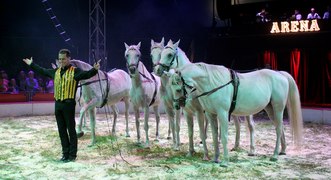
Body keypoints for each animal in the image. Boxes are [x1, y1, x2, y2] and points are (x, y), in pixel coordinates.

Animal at [156, 40, 304, 167]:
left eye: (169, 54)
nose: (177, 105)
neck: (211, 83)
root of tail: (280, 74)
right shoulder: (207, 114)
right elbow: (209, 134)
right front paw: (214, 158)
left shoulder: (216, 113)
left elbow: (222, 135)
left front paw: (222, 160)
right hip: (269, 109)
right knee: (277, 127)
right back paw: (281, 150)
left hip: (277, 108)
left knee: (273, 128)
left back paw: (272, 154)